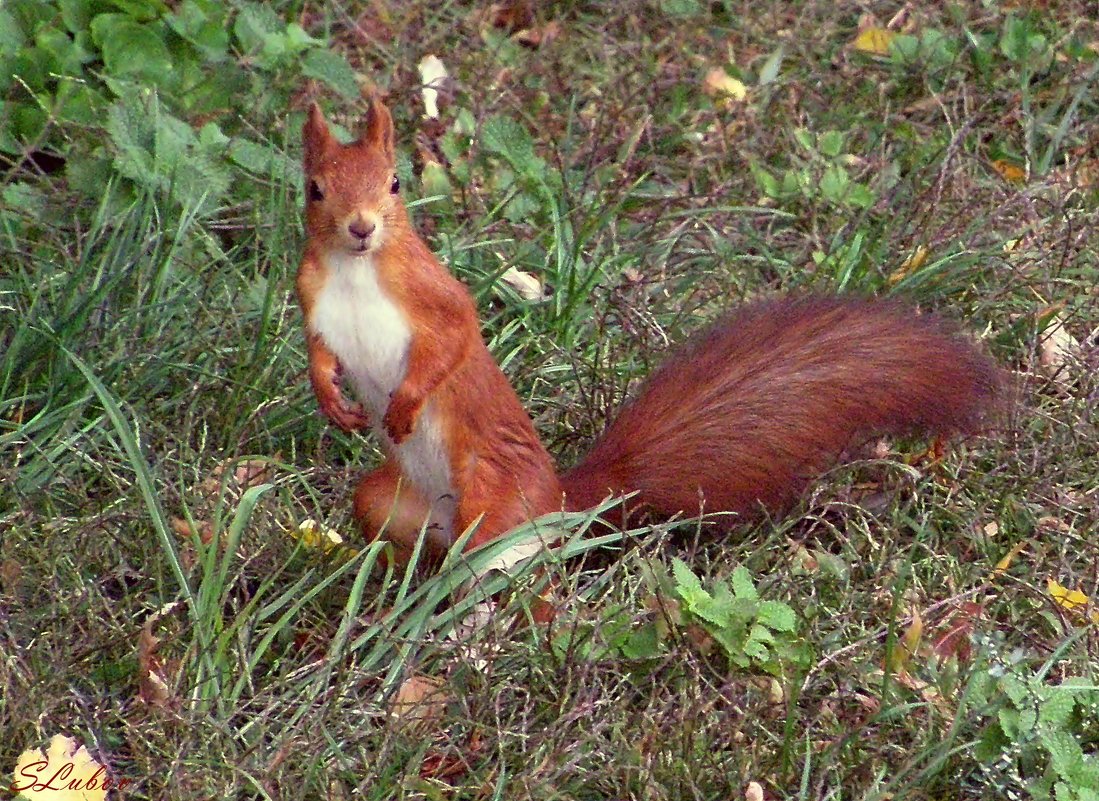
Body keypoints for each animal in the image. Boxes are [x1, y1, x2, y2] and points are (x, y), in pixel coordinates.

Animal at [296, 96, 1002, 566]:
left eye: (395, 182)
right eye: (314, 189)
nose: (361, 227)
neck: (358, 272)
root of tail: (559, 501)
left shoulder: (436, 296)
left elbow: (454, 340)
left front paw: (406, 404)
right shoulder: (311, 299)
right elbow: (319, 351)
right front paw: (332, 399)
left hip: (491, 502)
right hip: (391, 502)